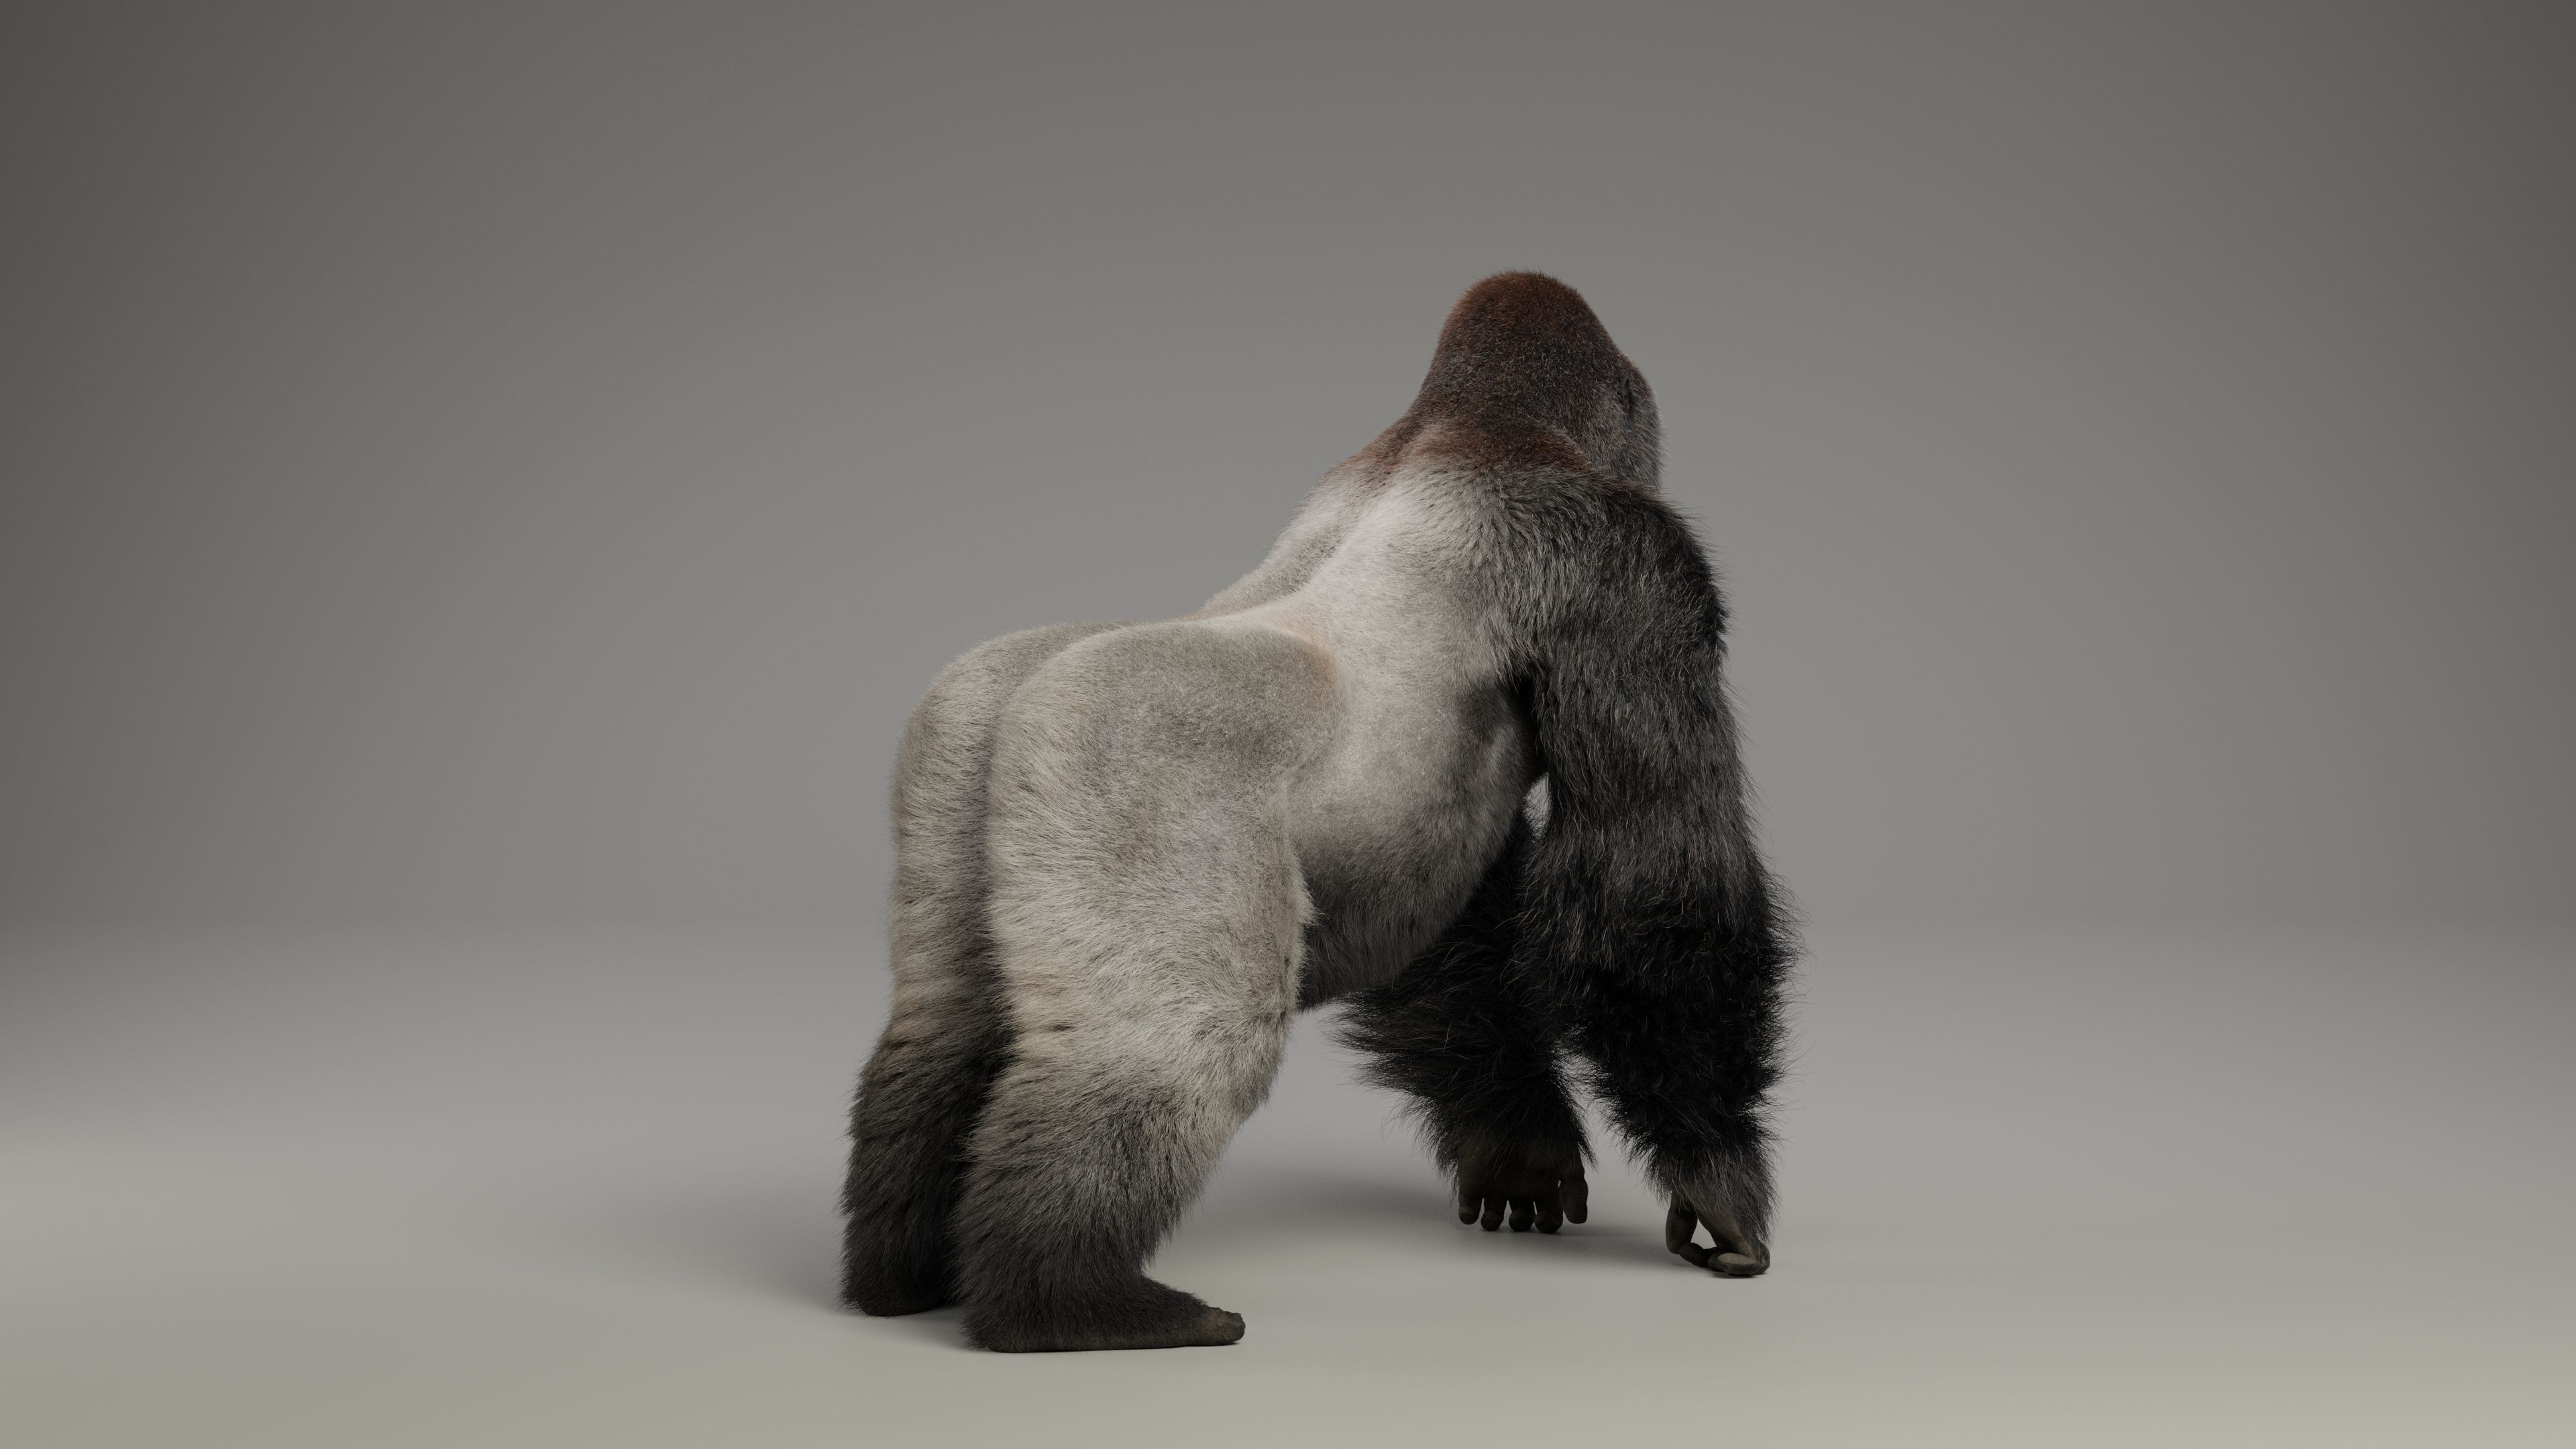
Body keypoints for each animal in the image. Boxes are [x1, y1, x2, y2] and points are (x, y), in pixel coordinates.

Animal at [840, 273, 1794, 1352]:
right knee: (1177, 1038)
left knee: (946, 1020)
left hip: (953, 750)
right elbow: (1649, 891)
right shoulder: (1636, 572)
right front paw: (1714, 1177)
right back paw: (1067, 1300)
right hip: (1126, 759)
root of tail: (1017, 708)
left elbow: (1462, 922)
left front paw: (1518, 1140)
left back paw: (903, 1270)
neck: (1470, 422)